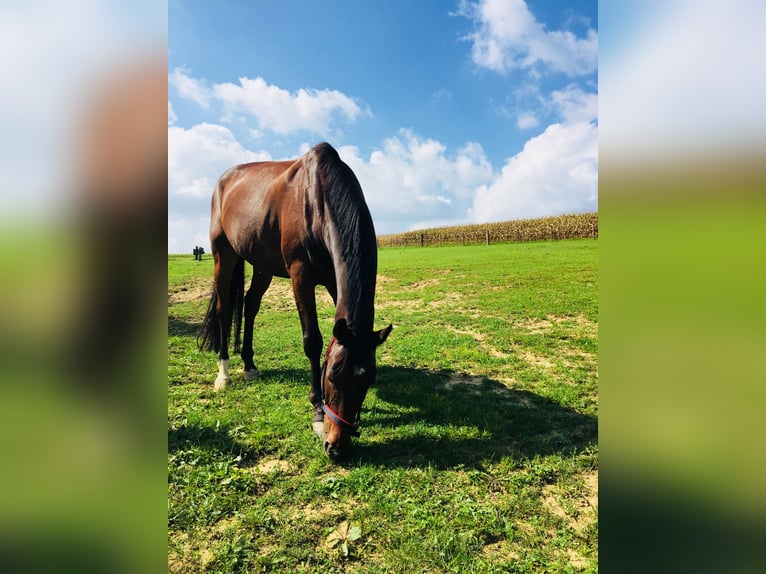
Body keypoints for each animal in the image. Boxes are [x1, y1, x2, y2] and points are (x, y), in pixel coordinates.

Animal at [198, 142, 392, 460]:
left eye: (368, 380)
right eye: (332, 376)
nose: (336, 447)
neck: (317, 201)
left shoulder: (333, 279)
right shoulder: (301, 276)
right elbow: (312, 340)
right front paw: (317, 410)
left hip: (262, 264)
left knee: (250, 305)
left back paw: (249, 365)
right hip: (222, 255)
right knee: (224, 311)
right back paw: (223, 375)